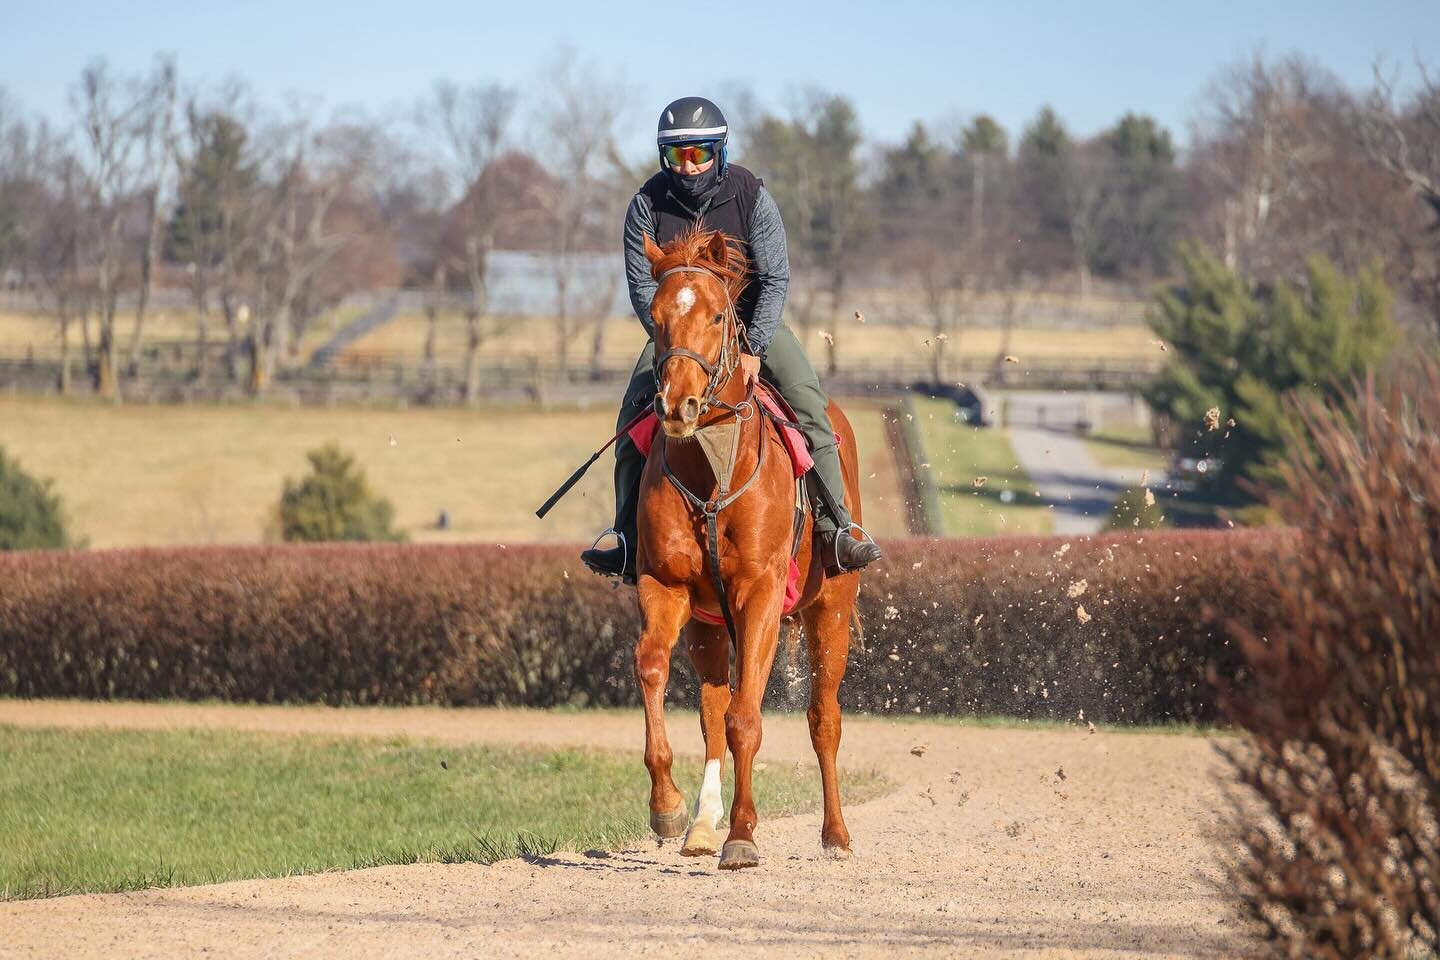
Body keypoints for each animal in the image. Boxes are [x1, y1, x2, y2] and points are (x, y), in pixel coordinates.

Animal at [633, 227, 858, 869]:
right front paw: (669, 807)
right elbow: (654, 668)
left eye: (716, 314)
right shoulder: (666, 585)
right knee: (711, 711)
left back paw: (835, 835)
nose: (676, 405)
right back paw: (700, 826)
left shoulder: (760, 593)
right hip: (709, 623)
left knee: (823, 718)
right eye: (656, 317)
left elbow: (747, 720)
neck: (711, 469)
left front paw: (742, 834)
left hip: (830, 610)